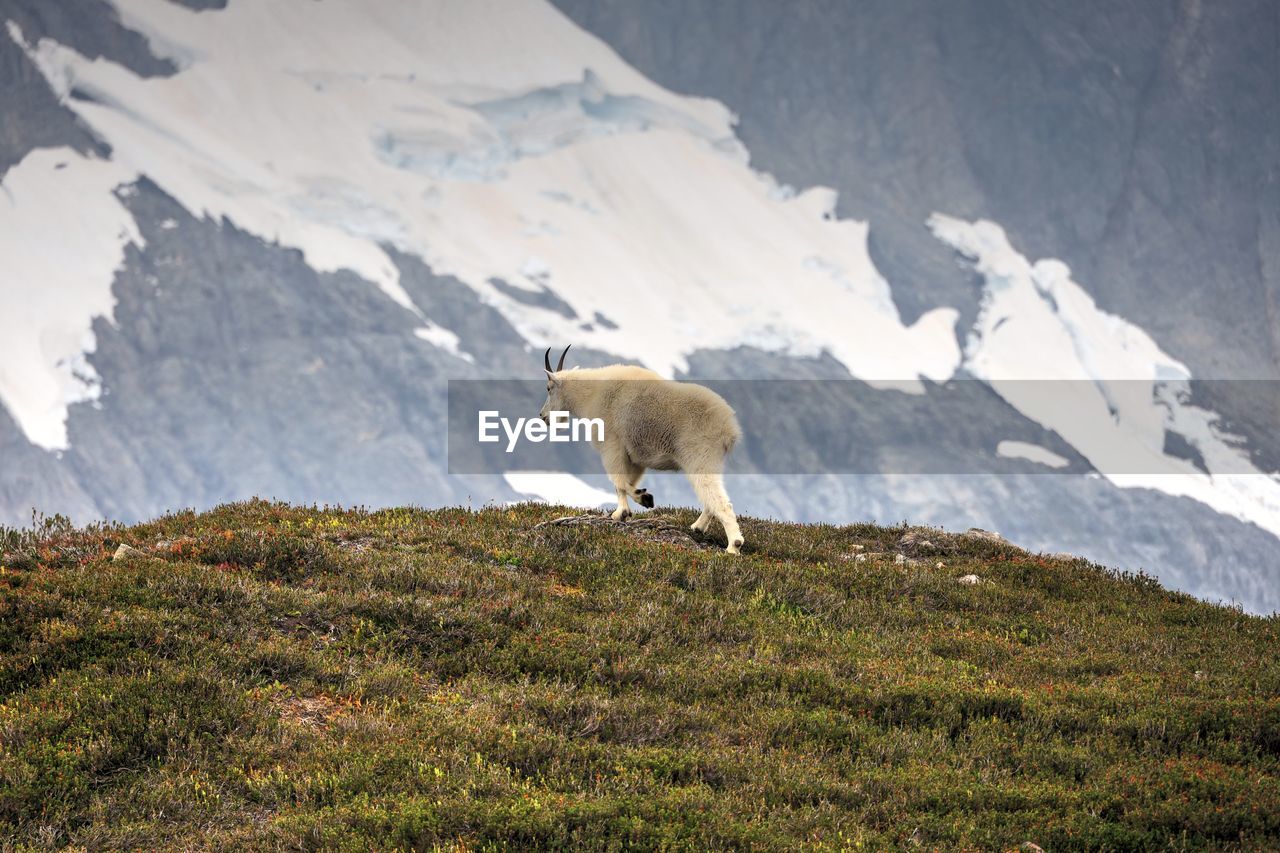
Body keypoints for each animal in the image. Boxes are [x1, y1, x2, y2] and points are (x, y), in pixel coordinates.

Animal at [535, 343, 747, 550]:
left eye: (548, 388)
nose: (543, 416)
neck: (591, 394)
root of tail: (730, 429)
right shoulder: (635, 457)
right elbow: (627, 481)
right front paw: (623, 511)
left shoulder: (612, 445)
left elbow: (619, 481)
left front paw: (638, 501)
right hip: (711, 461)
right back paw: (697, 527)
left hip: (699, 456)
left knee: (719, 500)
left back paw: (733, 545)